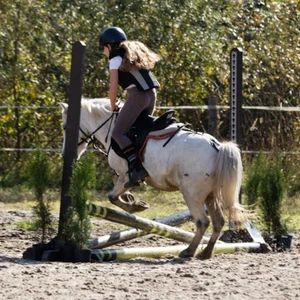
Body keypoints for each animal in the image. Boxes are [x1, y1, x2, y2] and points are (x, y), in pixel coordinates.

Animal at [59, 97, 247, 258]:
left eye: (65, 127)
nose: (65, 154)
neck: (110, 126)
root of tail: (217, 147)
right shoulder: (123, 176)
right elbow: (116, 187)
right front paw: (132, 200)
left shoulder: (125, 174)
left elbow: (112, 196)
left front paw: (136, 206)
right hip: (210, 195)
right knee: (218, 222)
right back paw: (206, 252)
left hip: (192, 194)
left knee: (202, 221)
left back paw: (189, 251)